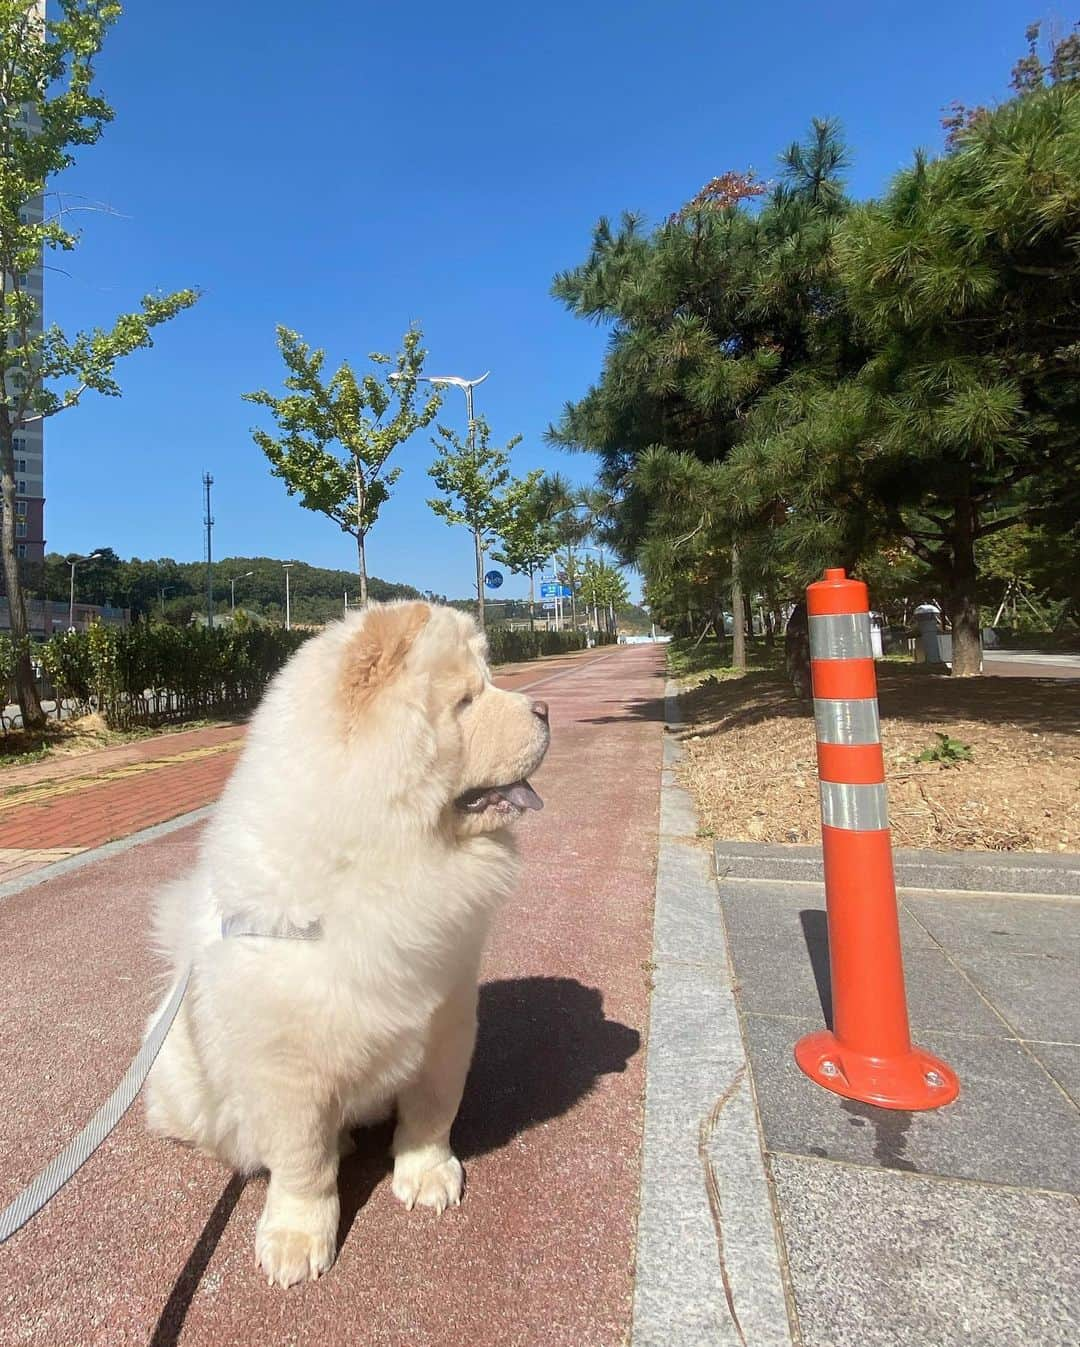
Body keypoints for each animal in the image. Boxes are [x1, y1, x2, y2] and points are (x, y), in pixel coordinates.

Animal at [146, 600, 546, 1282]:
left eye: (488, 683)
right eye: (466, 701)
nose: (545, 710)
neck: (394, 866)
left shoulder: (446, 1017)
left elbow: (432, 1111)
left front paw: (427, 1178)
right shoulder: (289, 1067)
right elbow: (303, 1163)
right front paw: (297, 1242)